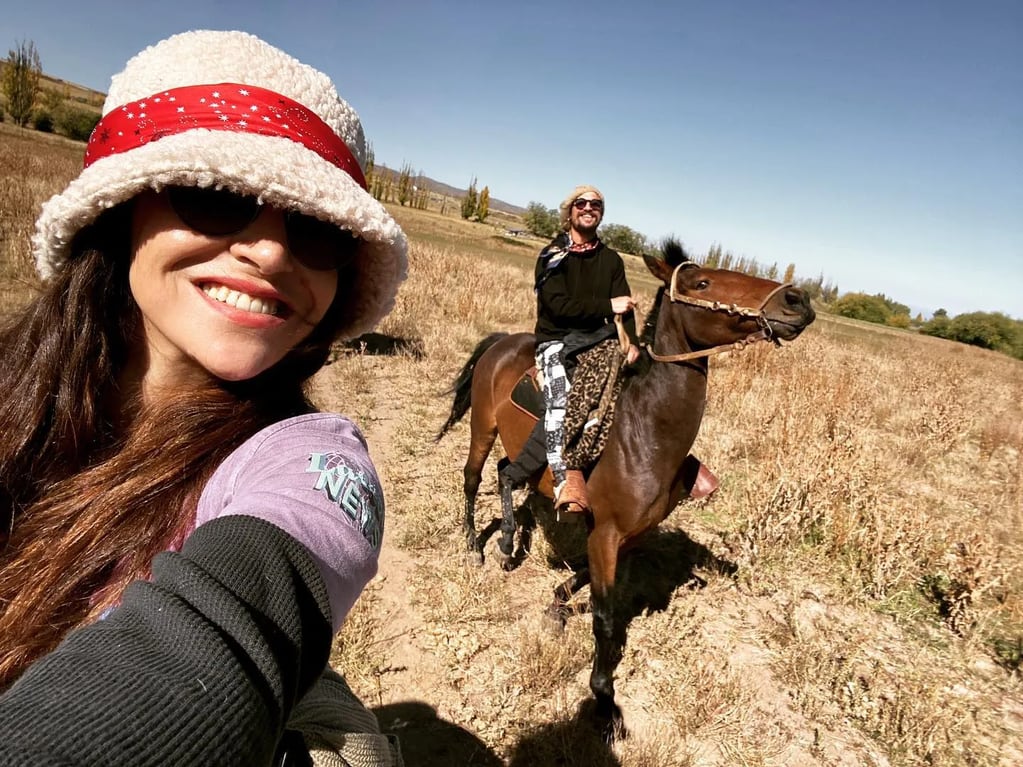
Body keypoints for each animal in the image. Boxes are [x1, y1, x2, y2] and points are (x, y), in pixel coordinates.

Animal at [433, 240, 814, 732]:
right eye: (702, 282)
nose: (797, 300)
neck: (642, 431)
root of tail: (501, 341)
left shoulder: (627, 535)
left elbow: (582, 579)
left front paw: (556, 607)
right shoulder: (607, 533)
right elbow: (604, 616)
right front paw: (603, 697)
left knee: (505, 473)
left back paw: (509, 538)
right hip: (482, 426)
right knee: (472, 477)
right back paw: (477, 547)